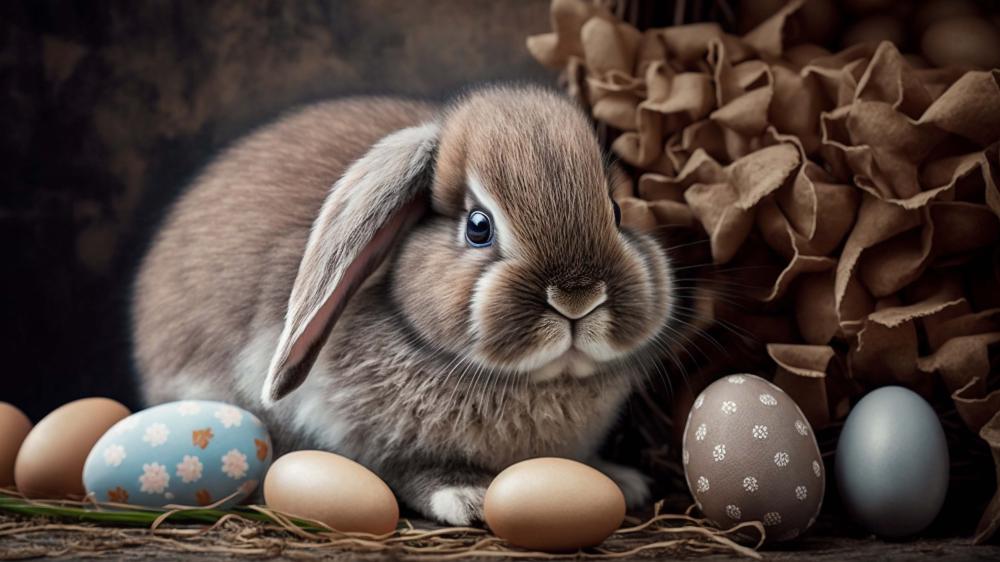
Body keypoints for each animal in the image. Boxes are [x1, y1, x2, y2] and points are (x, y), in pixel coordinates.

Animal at [132, 85, 681, 525]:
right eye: (478, 227)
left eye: (616, 212)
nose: (578, 298)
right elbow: (405, 470)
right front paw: (467, 496)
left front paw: (620, 479)